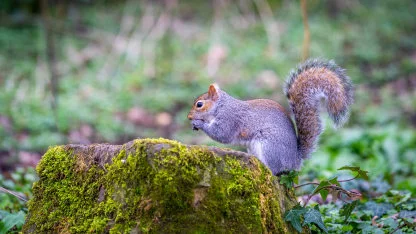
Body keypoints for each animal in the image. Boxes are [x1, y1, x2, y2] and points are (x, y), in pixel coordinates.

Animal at [188, 59, 354, 175]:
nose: (189, 117)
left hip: (269, 147)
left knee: (274, 171)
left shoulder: (229, 119)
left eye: (199, 104)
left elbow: (221, 135)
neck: (221, 107)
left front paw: (199, 123)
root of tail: (295, 160)